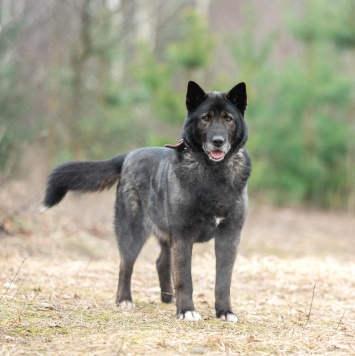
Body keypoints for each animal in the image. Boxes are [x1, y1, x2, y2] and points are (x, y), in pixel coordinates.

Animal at [41, 81, 252, 322]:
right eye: (205, 118)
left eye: (228, 119)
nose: (218, 142)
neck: (213, 174)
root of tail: (128, 155)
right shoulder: (183, 235)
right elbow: (184, 278)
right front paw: (186, 311)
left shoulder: (229, 237)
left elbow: (223, 281)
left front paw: (225, 311)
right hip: (132, 233)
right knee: (125, 265)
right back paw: (124, 300)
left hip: (164, 235)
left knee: (161, 262)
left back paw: (168, 298)